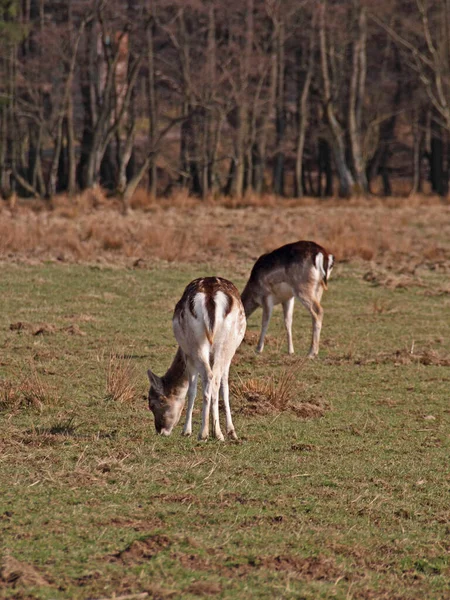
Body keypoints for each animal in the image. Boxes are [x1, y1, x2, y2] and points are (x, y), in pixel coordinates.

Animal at [147, 276, 246, 440]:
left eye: (152, 403)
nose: (160, 430)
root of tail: (210, 296)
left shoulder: (189, 356)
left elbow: (191, 390)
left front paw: (186, 430)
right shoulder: (229, 357)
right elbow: (224, 387)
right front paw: (231, 431)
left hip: (196, 344)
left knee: (208, 376)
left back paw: (203, 433)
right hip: (226, 344)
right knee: (214, 378)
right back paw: (217, 433)